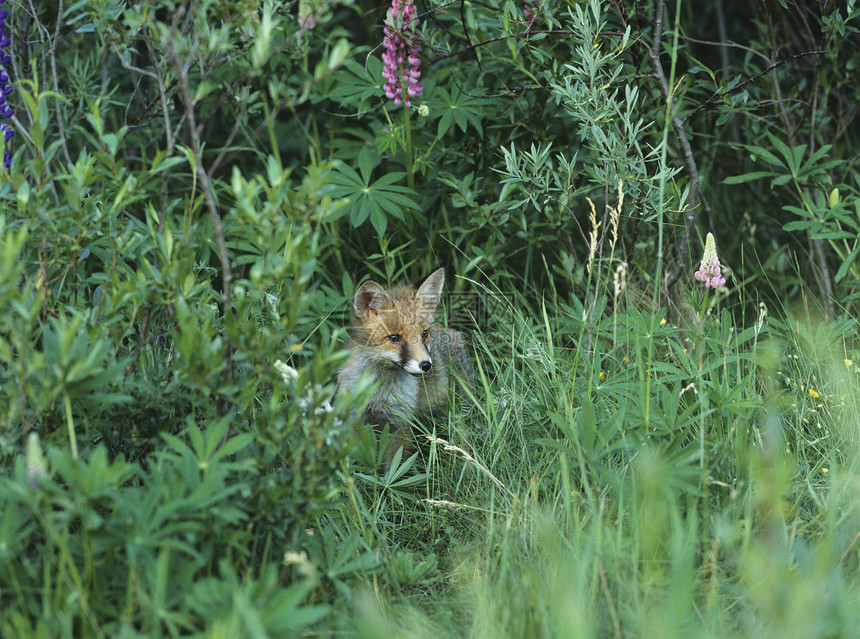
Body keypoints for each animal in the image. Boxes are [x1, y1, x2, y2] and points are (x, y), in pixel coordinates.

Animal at [336, 266, 474, 460]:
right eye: (395, 338)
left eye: (424, 334)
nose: (426, 365)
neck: (378, 390)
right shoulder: (353, 417)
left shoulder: (400, 422)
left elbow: (396, 464)